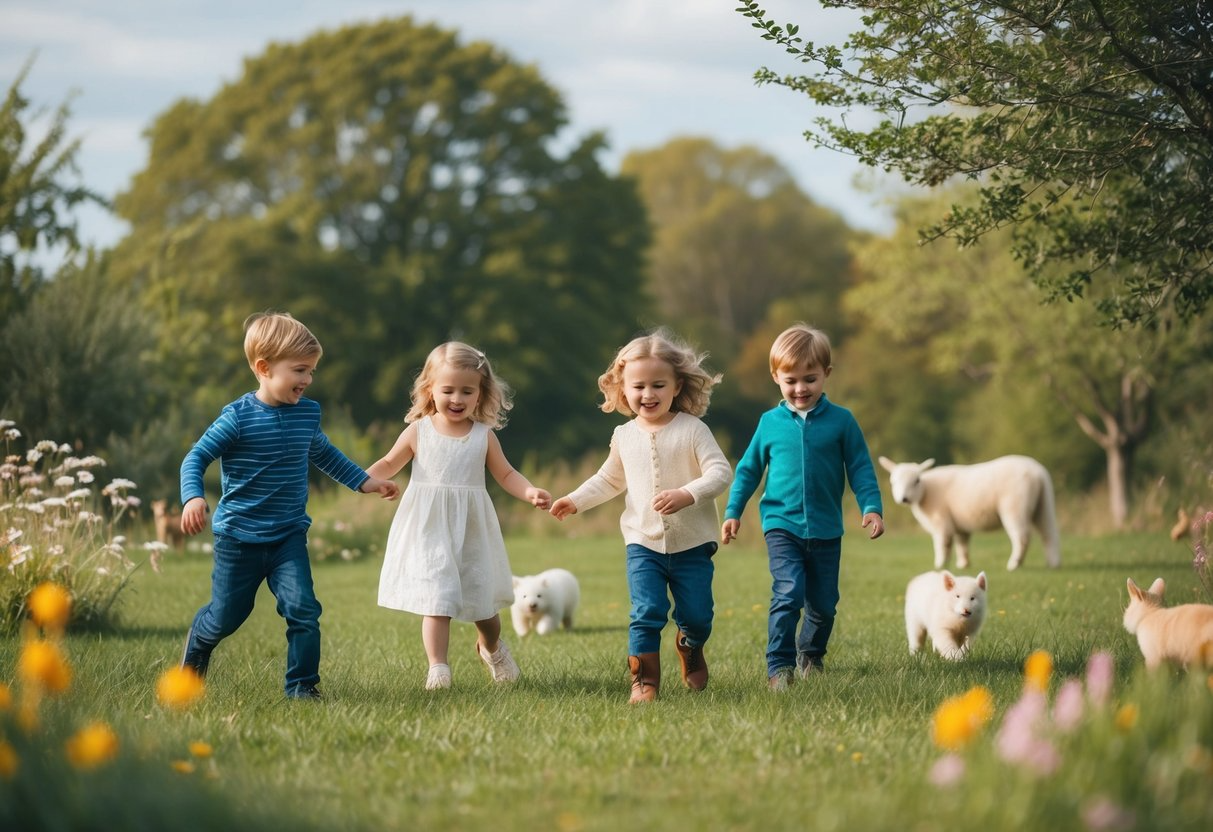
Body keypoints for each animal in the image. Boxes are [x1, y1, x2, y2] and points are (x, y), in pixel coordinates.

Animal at [878, 456, 1057, 572]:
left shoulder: (941, 521)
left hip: (1015, 505)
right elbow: (962, 544)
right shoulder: (959, 525)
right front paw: (963, 565)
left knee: (1022, 537)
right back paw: (1053, 563)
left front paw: (940, 565)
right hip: (1044, 502)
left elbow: (943, 544)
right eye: (893, 482)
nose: (904, 499)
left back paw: (1014, 564)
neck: (926, 491)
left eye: (916, 481)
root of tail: (1037, 473)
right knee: (1048, 533)